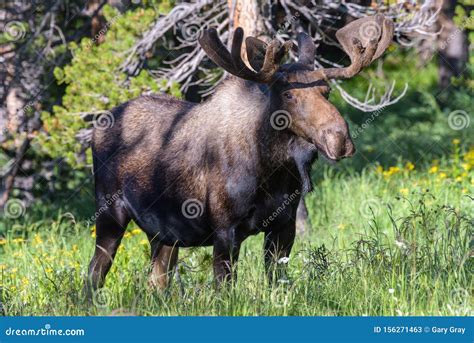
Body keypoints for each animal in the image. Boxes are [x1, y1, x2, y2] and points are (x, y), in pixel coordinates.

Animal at [87, 15, 394, 292]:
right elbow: (225, 289)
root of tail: (97, 126)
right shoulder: (226, 230)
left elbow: (278, 283)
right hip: (110, 213)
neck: (272, 171)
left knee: (157, 282)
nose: (340, 140)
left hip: (162, 233)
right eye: (288, 95)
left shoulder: (284, 225)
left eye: (327, 91)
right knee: (95, 273)